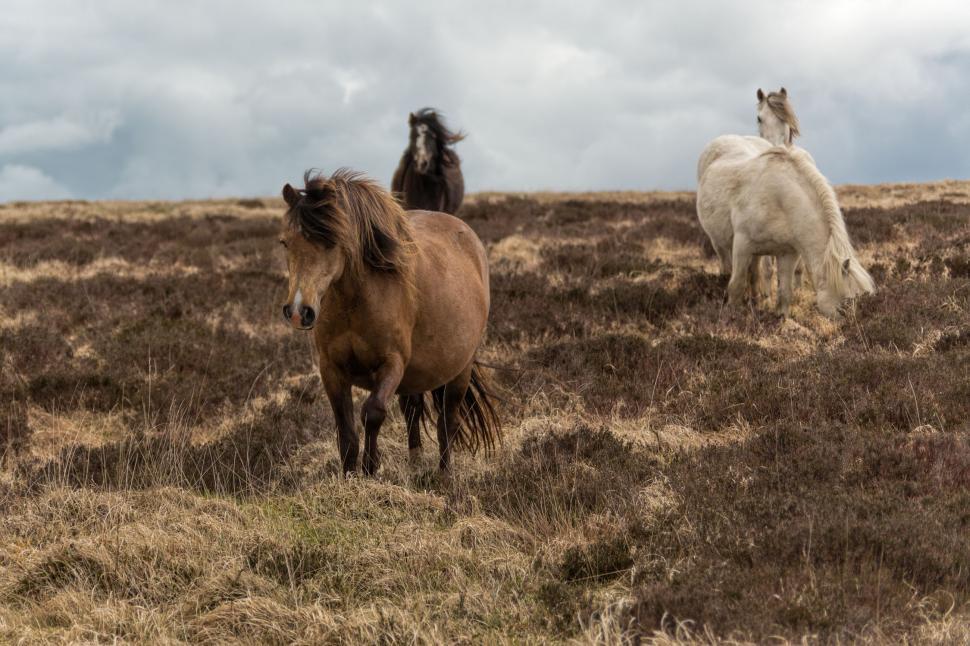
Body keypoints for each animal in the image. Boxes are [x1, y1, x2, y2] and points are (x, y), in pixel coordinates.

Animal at [279, 169, 499, 475]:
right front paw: (349, 476)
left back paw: (445, 475)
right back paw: (415, 462)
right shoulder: (331, 369)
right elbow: (346, 433)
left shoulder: (391, 364)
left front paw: (370, 468)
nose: (299, 311)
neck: (356, 302)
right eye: (285, 242)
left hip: (459, 370)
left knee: (447, 421)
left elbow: (373, 413)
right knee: (413, 409)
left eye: (332, 242)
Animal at [696, 89, 874, 318]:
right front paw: (731, 316)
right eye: (845, 305)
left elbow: (784, 293)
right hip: (720, 243)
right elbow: (735, 286)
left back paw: (756, 300)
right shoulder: (742, 246)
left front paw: (780, 318)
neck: (780, 200)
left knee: (755, 275)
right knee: (727, 269)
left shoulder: (787, 254)